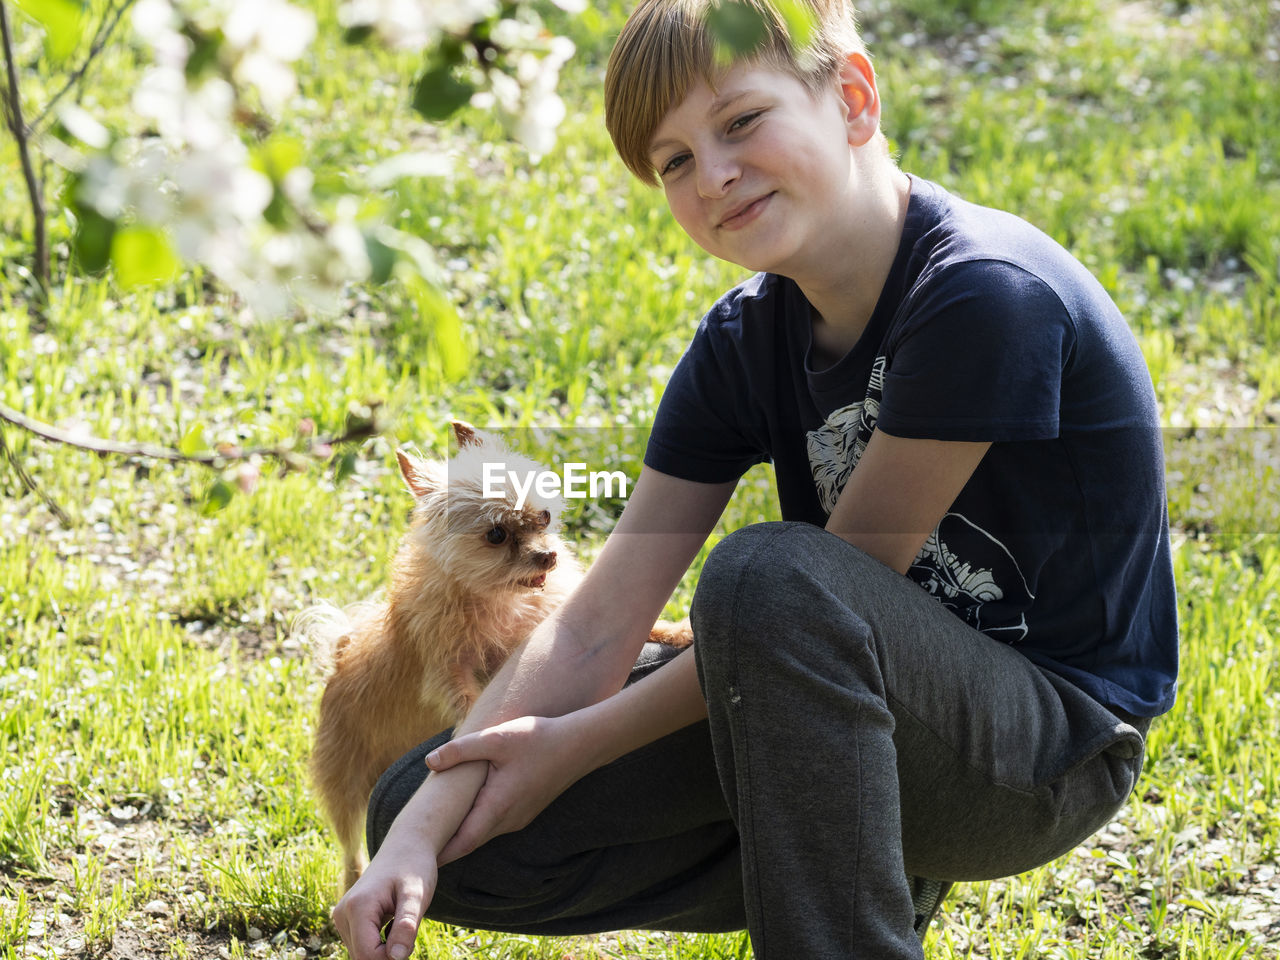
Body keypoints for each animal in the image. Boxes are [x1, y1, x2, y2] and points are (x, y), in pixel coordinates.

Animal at [303, 424, 691, 890]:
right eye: (495, 535)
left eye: (544, 517)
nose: (548, 556)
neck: (499, 600)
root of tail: (341, 654)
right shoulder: (449, 673)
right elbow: (469, 702)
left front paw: (676, 631)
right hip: (345, 784)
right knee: (350, 848)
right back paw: (354, 878)